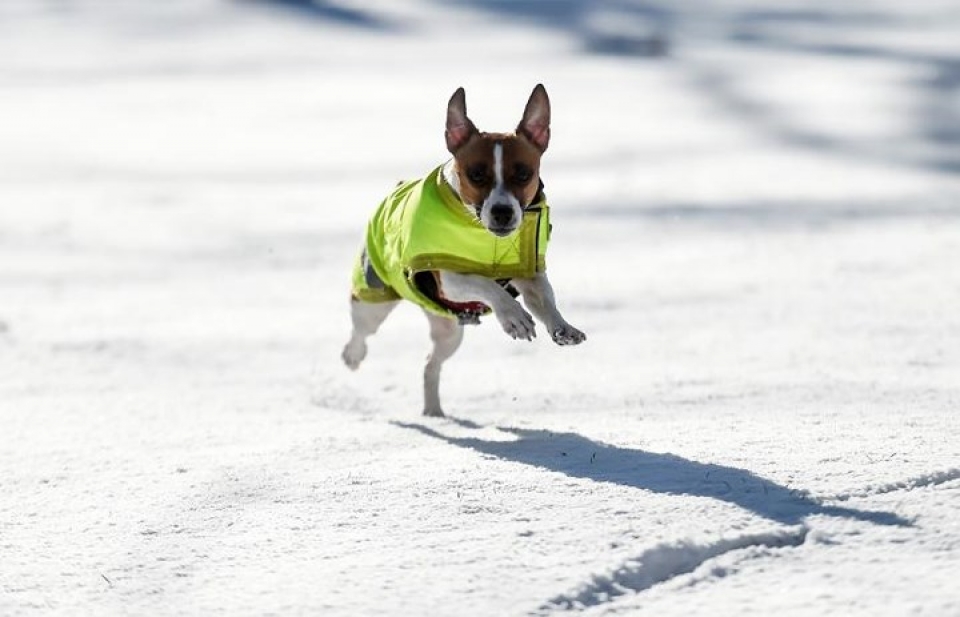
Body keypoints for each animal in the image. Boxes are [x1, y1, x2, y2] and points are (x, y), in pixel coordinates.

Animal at [344, 84, 584, 416]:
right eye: (477, 174)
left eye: (524, 174)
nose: (502, 212)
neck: (486, 237)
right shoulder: (448, 278)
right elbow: (484, 283)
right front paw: (513, 317)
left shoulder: (528, 274)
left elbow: (545, 297)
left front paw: (561, 326)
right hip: (373, 298)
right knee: (362, 330)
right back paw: (353, 356)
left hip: (448, 332)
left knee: (430, 364)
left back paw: (434, 411)